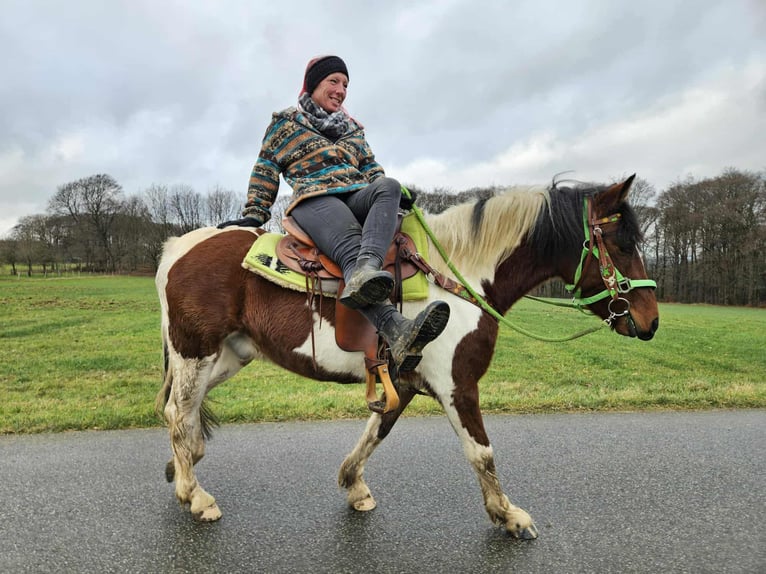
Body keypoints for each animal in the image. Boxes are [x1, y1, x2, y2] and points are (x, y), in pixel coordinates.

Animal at [155, 175, 659, 539]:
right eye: (622, 244)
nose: (650, 321)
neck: (459, 280)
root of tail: (178, 247)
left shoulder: (406, 379)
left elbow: (376, 433)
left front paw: (353, 486)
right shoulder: (458, 385)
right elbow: (482, 452)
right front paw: (508, 515)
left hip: (225, 356)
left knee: (182, 412)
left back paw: (184, 467)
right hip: (195, 351)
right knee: (178, 412)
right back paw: (195, 496)